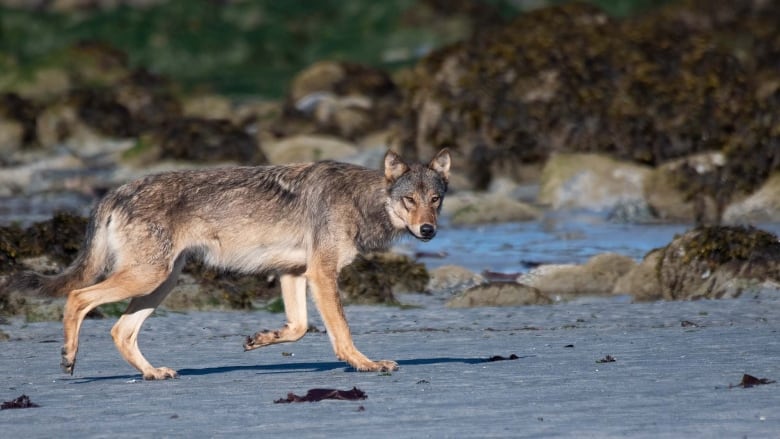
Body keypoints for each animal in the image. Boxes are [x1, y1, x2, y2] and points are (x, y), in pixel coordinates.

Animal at [21, 149, 450, 382]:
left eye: (435, 199)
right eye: (409, 200)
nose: (428, 230)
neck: (362, 199)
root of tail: (116, 190)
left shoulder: (295, 273)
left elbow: (297, 328)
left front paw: (259, 339)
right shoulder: (322, 274)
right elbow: (341, 332)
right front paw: (366, 364)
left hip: (160, 283)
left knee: (120, 330)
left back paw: (152, 373)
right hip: (147, 278)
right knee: (78, 297)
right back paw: (69, 357)